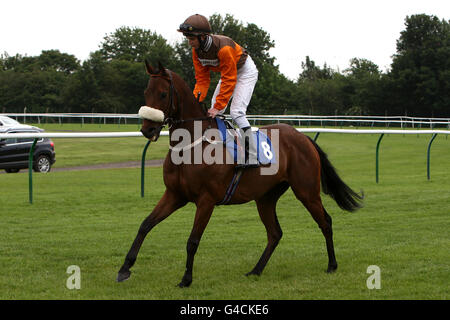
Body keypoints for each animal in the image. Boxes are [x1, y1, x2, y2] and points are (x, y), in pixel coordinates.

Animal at [118, 61, 364, 286]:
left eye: (162, 93)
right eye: (146, 92)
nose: (147, 129)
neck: (192, 146)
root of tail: (303, 137)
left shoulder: (206, 200)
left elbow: (193, 240)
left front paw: (186, 279)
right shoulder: (175, 195)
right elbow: (145, 225)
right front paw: (124, 269)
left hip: (306, 190)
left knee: (325, 221)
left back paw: (332, 265)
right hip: (265, 197)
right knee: (275, 233)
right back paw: (256, 270)